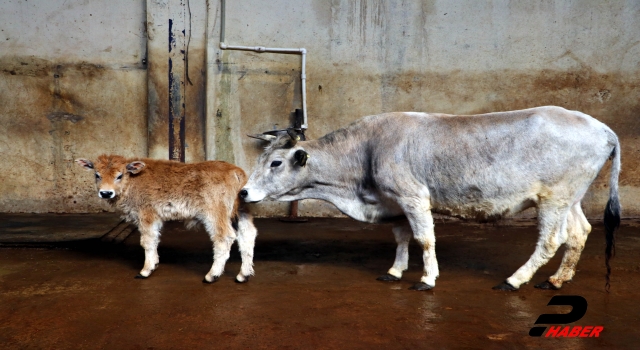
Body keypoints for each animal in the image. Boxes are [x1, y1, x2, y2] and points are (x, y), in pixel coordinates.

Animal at [75, 154, 255, 284]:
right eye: (97, 175)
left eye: (119, 176)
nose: (106, 193)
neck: (132, 180)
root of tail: (236, 171)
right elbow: (154, 239)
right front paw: (154, 264)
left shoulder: (147, 215)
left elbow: (147, 241)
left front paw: (145, 271)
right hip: (241, 212)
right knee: (248, 235)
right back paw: (243, 275)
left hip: (215, 214)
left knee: (224, 237)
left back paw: (212, 275)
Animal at [241, 105, 620, 292]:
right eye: (262, 159)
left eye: (276, 163)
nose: (244, 191)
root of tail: (602, 127)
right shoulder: (394, 202)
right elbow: (401, 237)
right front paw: (395, 271)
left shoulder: (413, 196)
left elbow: (424, 238)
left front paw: (426, 279)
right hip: (571, 197)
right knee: (579, 232)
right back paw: (557, 280)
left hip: (554, 198)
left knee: (551, 240)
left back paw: (515, 280)